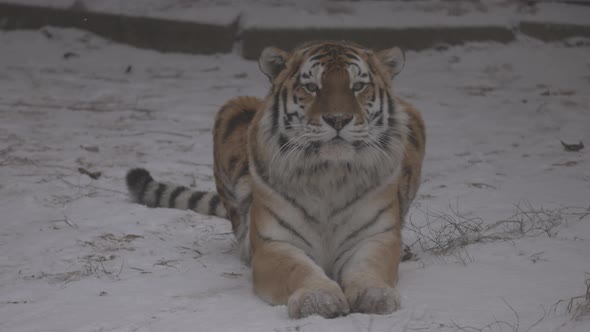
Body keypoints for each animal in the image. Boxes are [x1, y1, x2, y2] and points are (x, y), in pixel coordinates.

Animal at [126, 41, 426, 320]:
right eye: (312, 87)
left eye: (358, 86)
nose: (338, 119)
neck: (330, 174)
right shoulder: (275, 244)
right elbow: (298, 270)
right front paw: (318, 299)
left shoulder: (376, 237)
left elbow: (369, 267)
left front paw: (375, 295)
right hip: (232, 109)